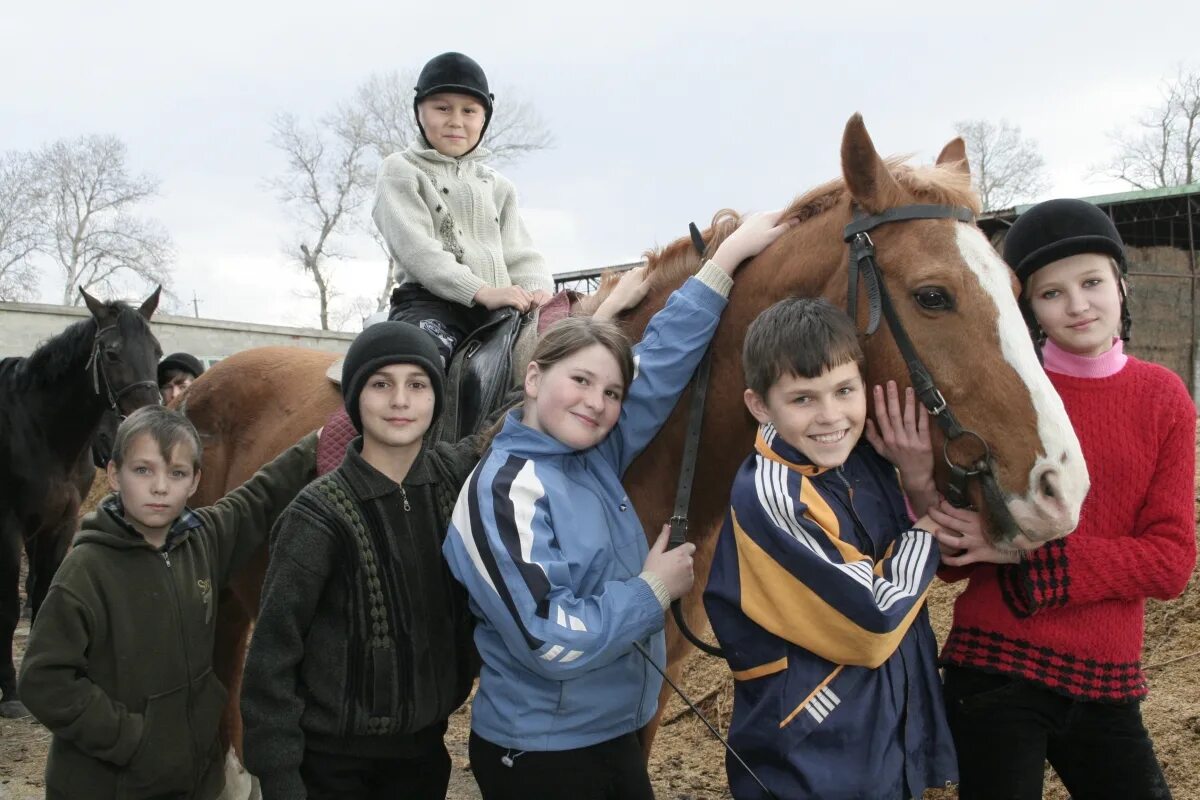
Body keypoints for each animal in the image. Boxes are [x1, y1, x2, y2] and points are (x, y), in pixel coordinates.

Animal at [0, 289, 163, 719]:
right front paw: (10, 693)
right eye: (111, 353)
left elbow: (42, 592)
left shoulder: (59, 523)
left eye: (156, 351)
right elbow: (10, 605)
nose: (148, 416)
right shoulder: (9, 527)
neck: (39, 429)